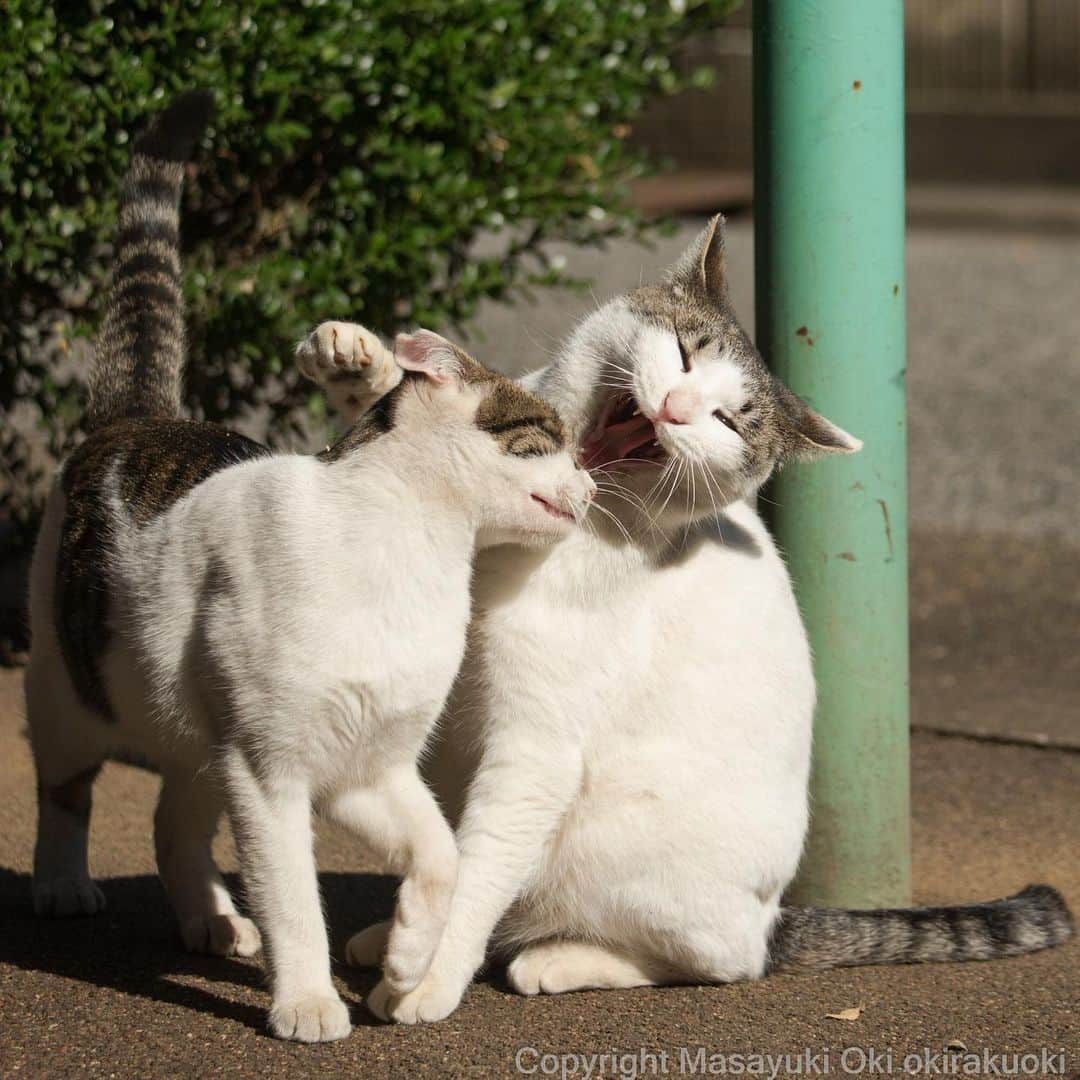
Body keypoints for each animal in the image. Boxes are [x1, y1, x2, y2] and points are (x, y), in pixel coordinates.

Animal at [25, 97, 596, 1041]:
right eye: (547, 438)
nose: (591, 482)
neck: (409, 557)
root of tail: (135, 415)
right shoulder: (271, 769)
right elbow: (295, 897)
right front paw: (309, 1002)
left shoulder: (370, 767)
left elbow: (440, 856)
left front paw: (405, 965)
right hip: (73, 697)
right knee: (66, 793)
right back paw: (64, 883)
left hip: (197, 739)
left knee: (171, 823)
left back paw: (211, 918)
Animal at [311, 221, 1071, 1028]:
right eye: (681, 352)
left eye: (727, 421)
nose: (675, 408)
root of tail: (775, 919)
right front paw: (359, 360)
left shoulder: (535, 749)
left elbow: (480, 870)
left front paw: (428, 981)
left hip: (627, 857)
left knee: (714, 961)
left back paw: (557, 958)